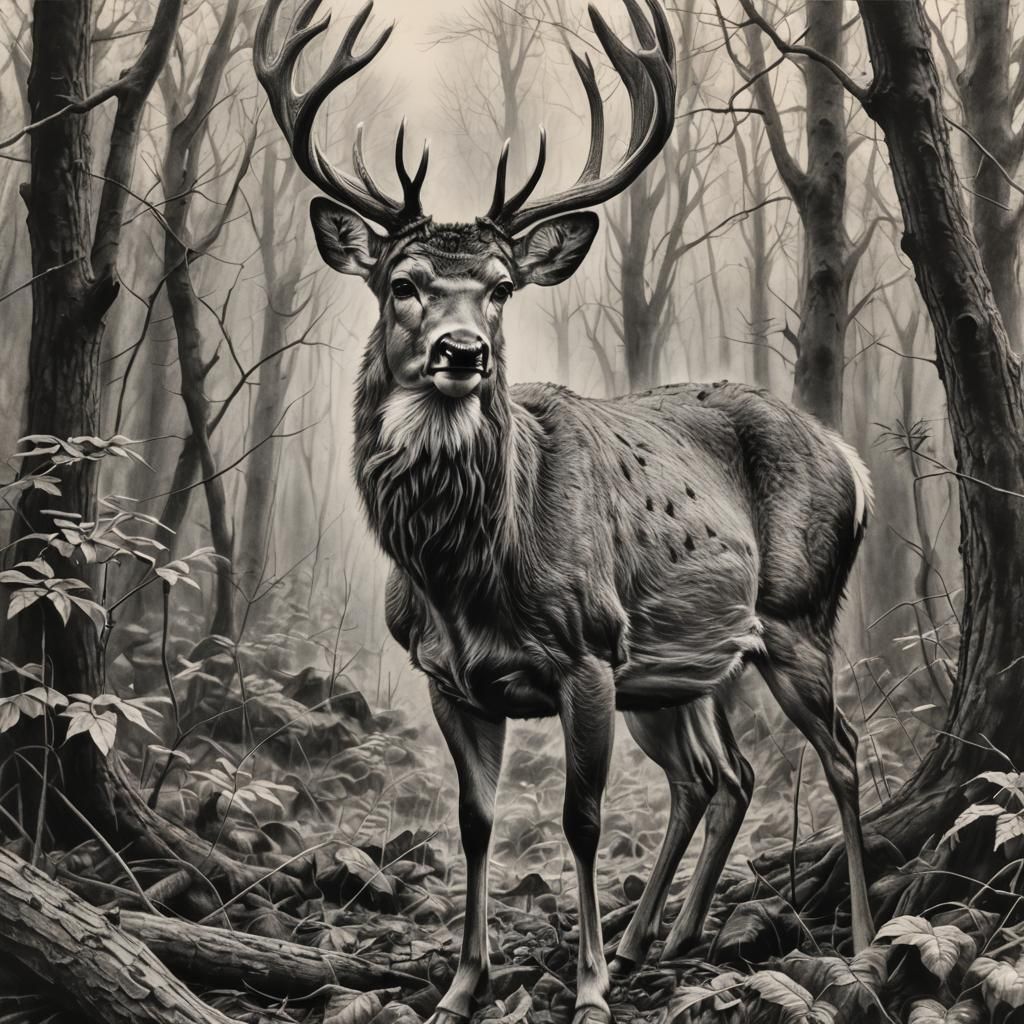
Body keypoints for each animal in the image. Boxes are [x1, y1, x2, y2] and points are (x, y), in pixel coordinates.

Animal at [255, 1, 875, 1021]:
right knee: (722, 778)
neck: (467, 577)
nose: (463, 351)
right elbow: (474, 822)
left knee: (842, 754)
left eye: (502, 287)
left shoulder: (587, 651)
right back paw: (658, 939)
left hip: (795, 615)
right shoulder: (449, 678)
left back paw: (857, 942)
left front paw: (585, 991)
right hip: (675, 671)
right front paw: (462, 986)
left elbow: (580, 820)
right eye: (402, 282)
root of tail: (852, 459)